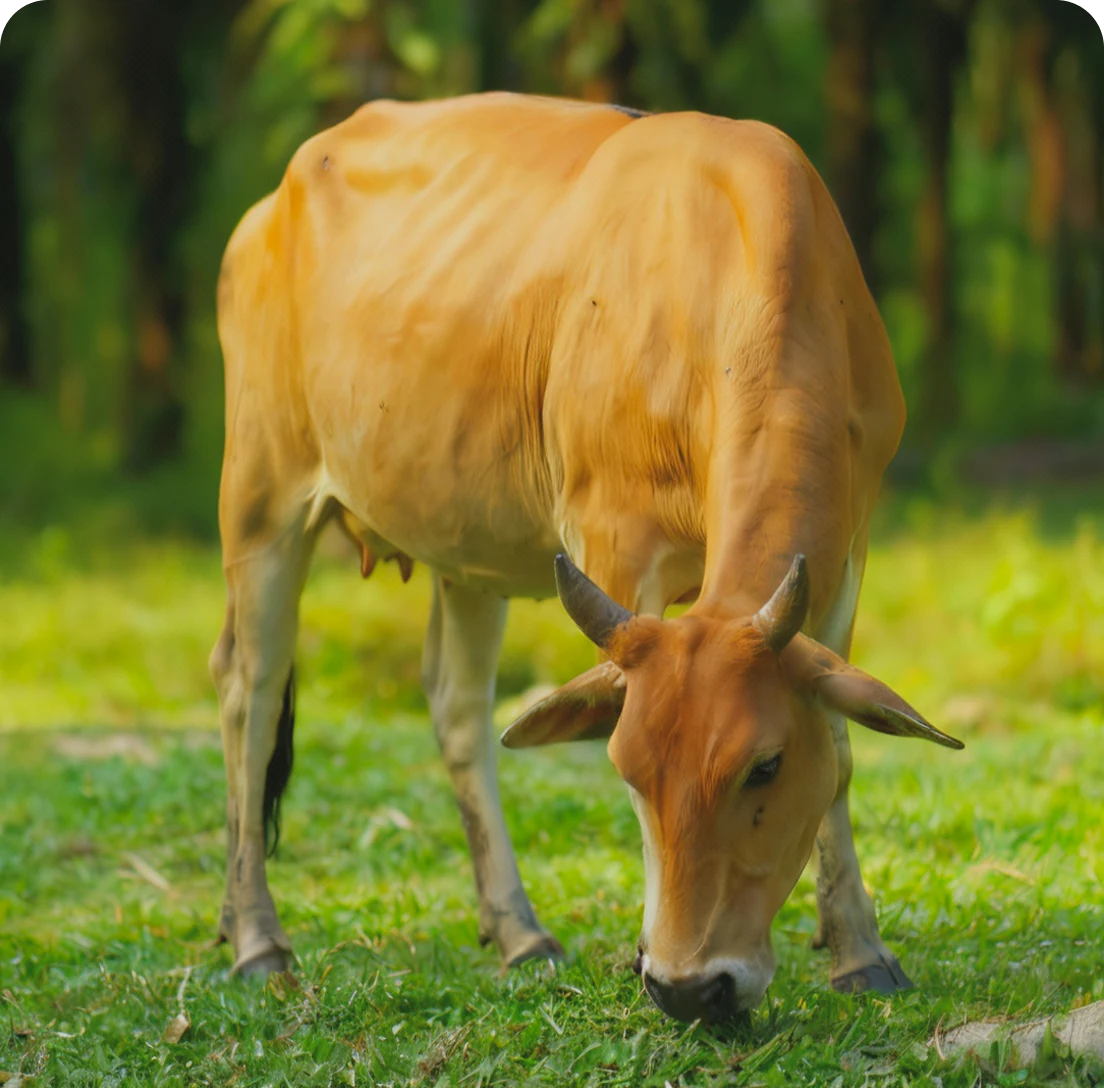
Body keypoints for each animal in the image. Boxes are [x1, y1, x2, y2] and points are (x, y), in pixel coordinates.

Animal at [210, 91, 962, 1023]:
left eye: (765, 766)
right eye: (630, 771)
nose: (691, 986)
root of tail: (268, 207)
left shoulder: (849, 549)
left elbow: (843, 744)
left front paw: (860, 949)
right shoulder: (614, 543)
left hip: (465, 547)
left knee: (457, 705)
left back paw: (520, 932)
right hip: (262, 499)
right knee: (249, 691)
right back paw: (257, 940)